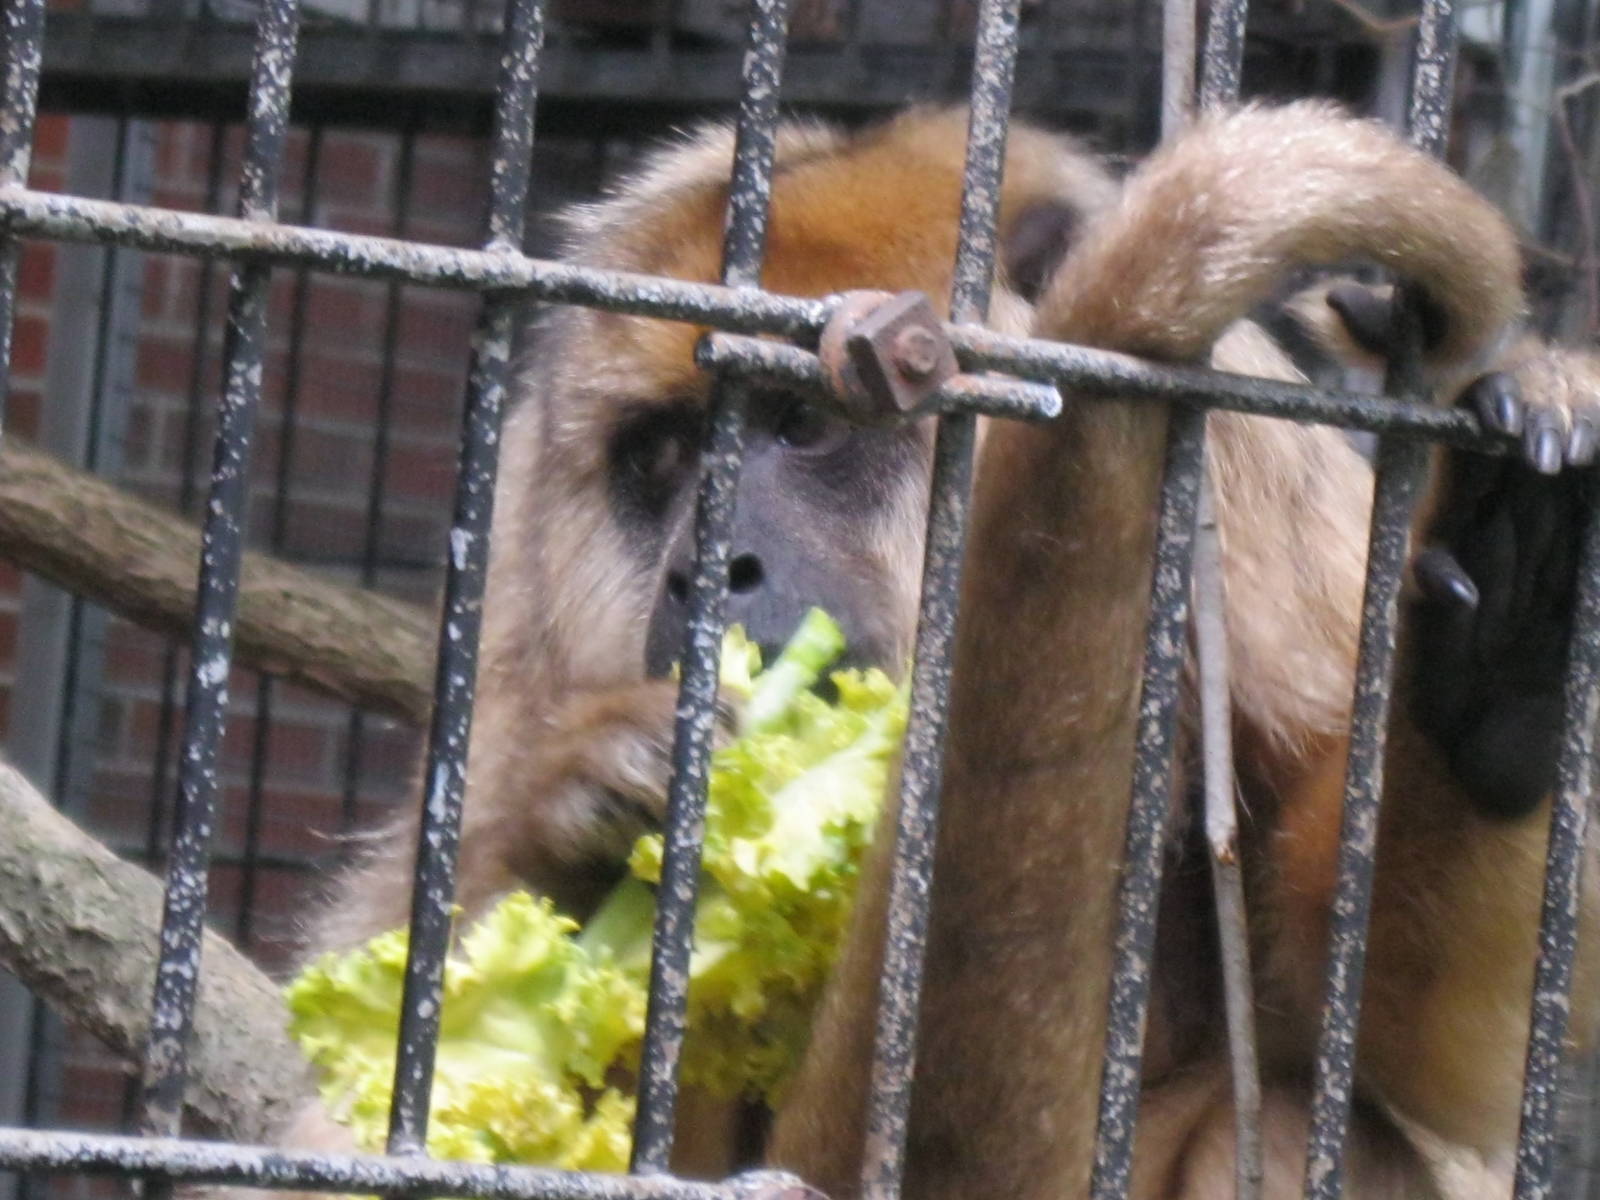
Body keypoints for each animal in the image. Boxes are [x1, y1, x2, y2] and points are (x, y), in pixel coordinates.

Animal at [287, 102, 1600, 1197]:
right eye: (658, 459)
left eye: (803, 425)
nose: (704, 568)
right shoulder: (519, 574)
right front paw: (589, 808)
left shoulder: (1259, 492)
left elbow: (1381, 1048)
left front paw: (1485, 692)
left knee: (1272, 1123)